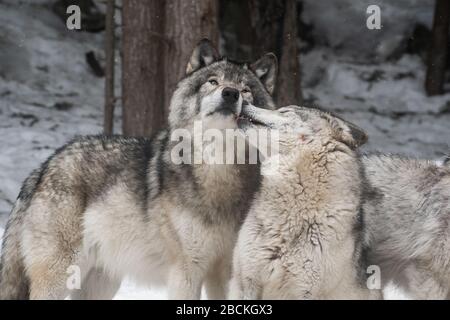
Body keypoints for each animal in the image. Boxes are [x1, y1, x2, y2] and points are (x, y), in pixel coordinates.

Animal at [0, 39, 278, 300]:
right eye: (213, 81)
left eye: (246, 90)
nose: (230, 93)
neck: (218, 168)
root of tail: (42, 167)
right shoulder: (186, 270)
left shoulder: (225, 271)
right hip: (60, 275)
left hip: (101, 282)